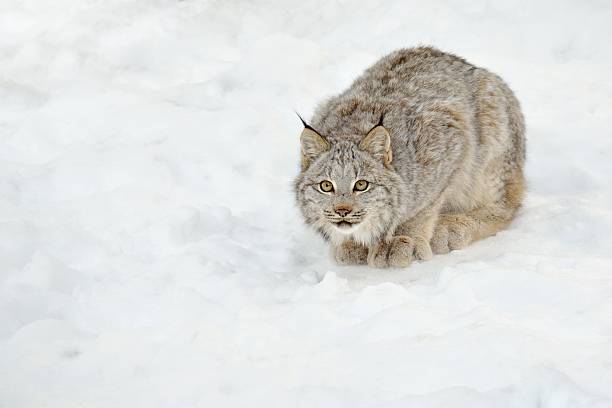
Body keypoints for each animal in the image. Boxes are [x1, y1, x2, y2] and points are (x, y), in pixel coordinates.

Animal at [294, 46, 524, 268]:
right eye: (326, 186)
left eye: (361, 185)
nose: (342, 211)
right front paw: (352, 243)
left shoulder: (452, 133)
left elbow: (421, 207)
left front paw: (400, 240)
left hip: (490, 132)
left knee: (507, 205)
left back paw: (452, 226)